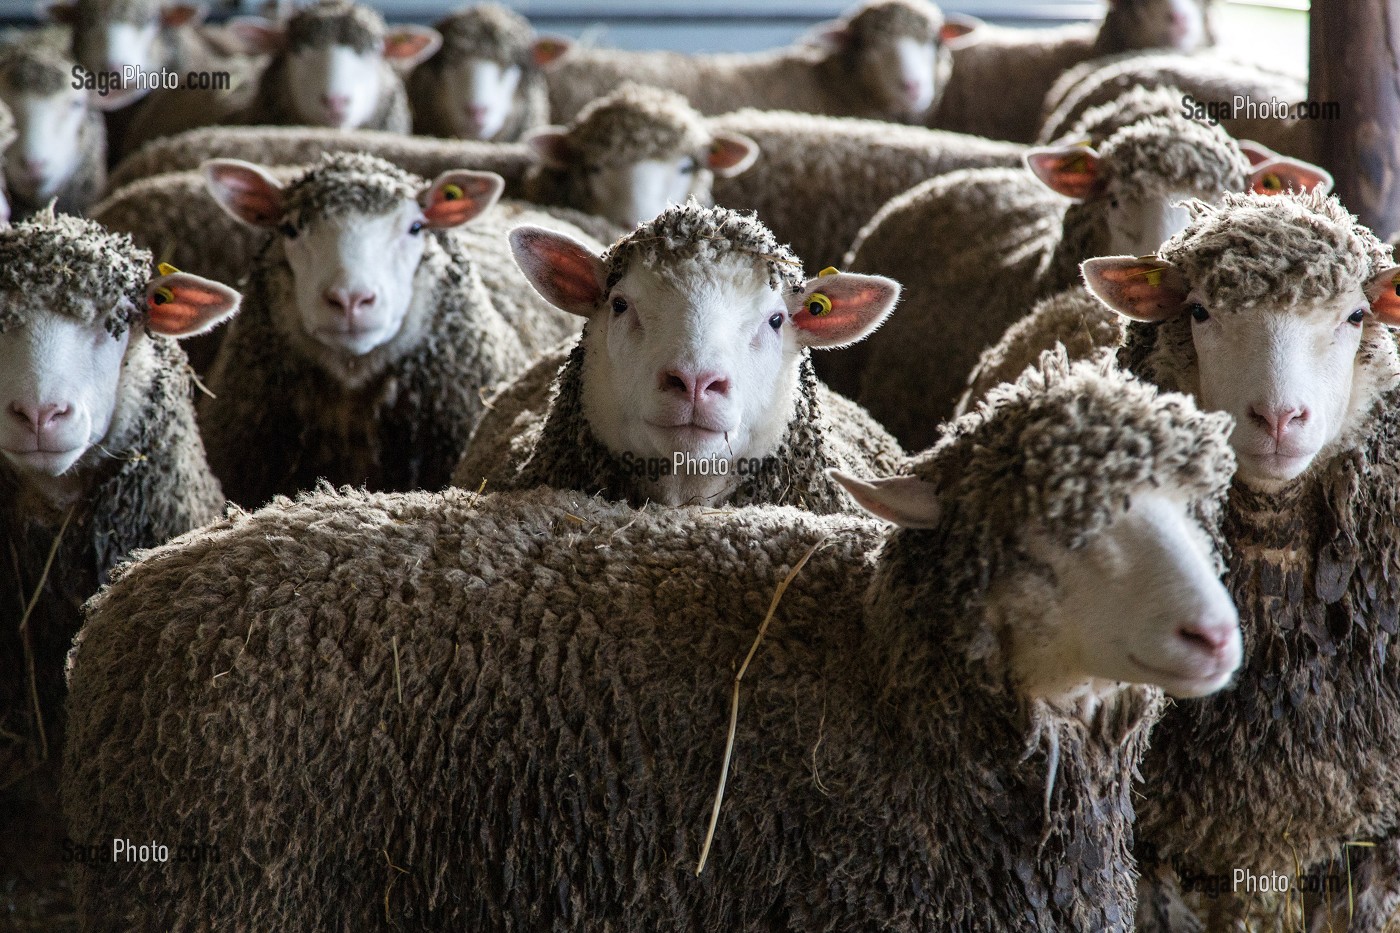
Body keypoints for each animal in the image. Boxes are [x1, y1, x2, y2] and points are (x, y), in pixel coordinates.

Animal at [63, 349, 1243, 932]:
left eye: (1200, 507)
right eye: (1040, 537)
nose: (1213, 633)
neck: (878, 671)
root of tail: (126, 602)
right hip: (224, 886)